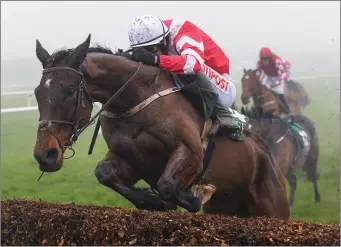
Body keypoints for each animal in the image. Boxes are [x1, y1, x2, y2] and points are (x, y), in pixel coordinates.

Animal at [33, 34, 288, 220]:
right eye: (37, 93)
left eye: (69, 91)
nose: (45, 155)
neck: (133, 98)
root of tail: (267, 154)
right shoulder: (132, 159)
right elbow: (104, 173)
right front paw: (150, 201)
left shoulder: (191, 152)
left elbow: (168, 186)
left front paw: (195, 194)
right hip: (226, 206)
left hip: (272, 209)